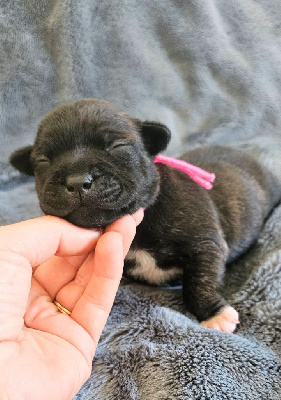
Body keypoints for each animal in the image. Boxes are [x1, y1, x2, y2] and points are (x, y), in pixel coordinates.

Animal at [9, 99, 280, 332]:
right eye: (43, 160)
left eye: (118, 147)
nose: (77, 181)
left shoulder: (204, 243)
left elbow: (199, 281)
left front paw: (213, 313)